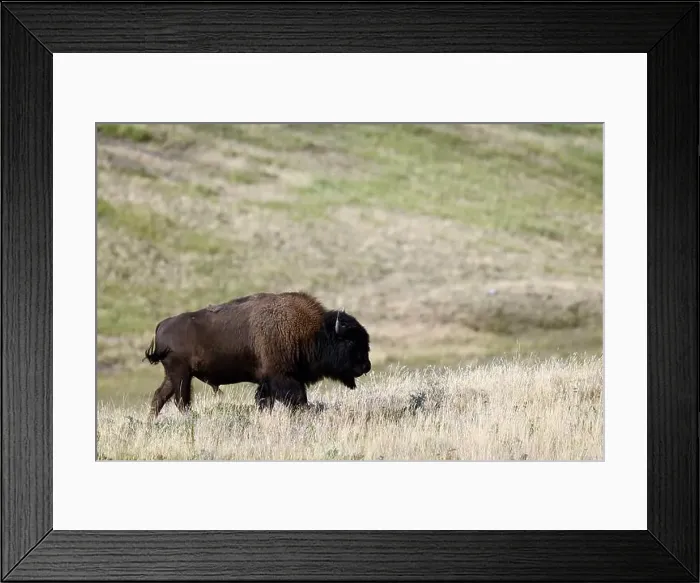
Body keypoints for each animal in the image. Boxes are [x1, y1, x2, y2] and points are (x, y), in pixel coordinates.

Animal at [143, 291, 371, 417]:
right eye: (351, 341)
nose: (366, 366)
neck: (312, 332)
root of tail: (161, 325)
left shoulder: (266, 383)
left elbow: (265, 403)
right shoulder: (281, 378)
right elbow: (298, 399)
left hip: (174, 375)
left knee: (160, 396)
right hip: (181, 374)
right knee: (180, 400)